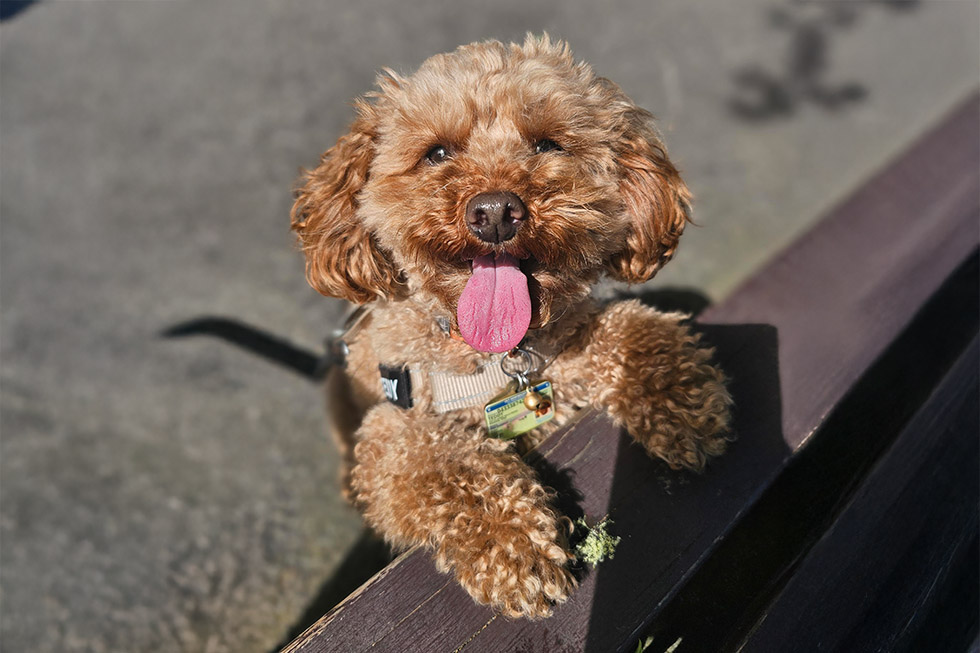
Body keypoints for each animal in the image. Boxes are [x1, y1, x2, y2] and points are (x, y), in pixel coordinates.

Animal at [288, 34, 732, 616]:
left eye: (547, 144)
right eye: (437, 153)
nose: (495, 212)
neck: (499, 358)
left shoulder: (567, 356)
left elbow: (627, 330)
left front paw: (680, 400)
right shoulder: (393, 429)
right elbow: (447, 467)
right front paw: (515, 546)